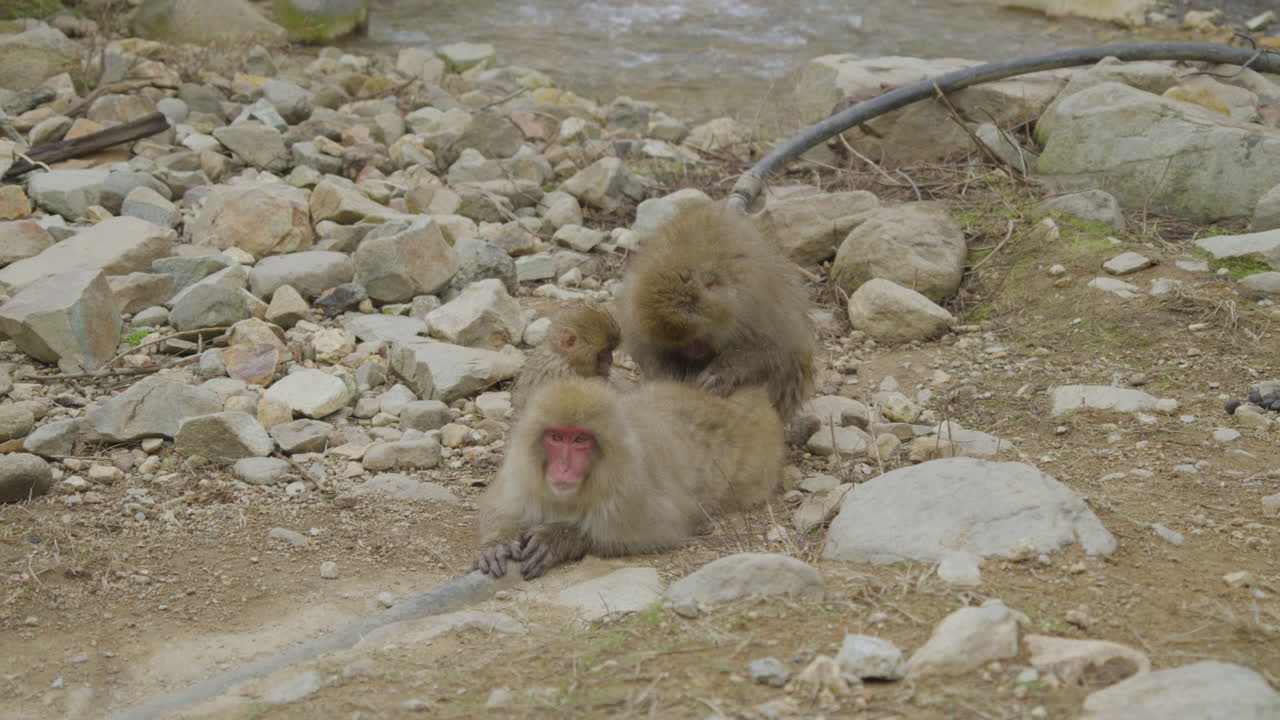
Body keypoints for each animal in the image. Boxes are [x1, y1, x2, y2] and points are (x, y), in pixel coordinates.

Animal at [472, 377, 784, 579]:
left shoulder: (631, 489)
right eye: (557, 437)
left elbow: (658, 531)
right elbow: (500, 506)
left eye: (581, 439)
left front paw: (560, 538)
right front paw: (497, 542)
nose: (562, 467)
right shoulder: (522, 471)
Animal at [616, 200, 815, 420]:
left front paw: (719, 374)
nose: (693, 351)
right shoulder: (634, 311)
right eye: (681, 343)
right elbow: (644, 348)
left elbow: (773, 347)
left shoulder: (757, 304)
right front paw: (666, 373)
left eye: (697, 338)